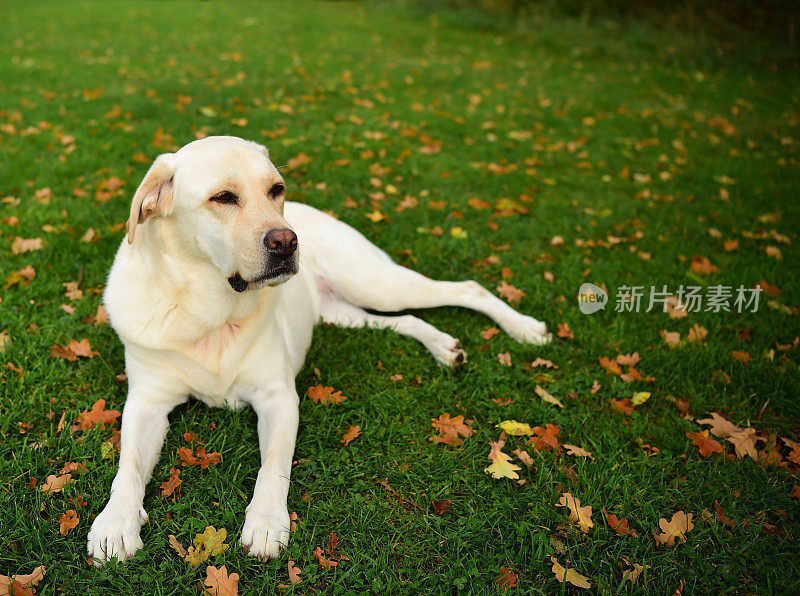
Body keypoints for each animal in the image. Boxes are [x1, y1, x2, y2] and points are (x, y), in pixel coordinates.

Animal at [87, 135, 552, 564]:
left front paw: (266, 522)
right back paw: (444, 347)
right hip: (342, 311)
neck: (209, 311)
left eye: (276, 189)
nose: (287, 241)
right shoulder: (147, 402)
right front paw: (115, 523)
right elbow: (128, 467)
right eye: (222, 197)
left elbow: (273, 466)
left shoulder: (278, 397)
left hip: (374, 282)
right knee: (405, 320)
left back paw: (525, 328)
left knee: (466, 289)